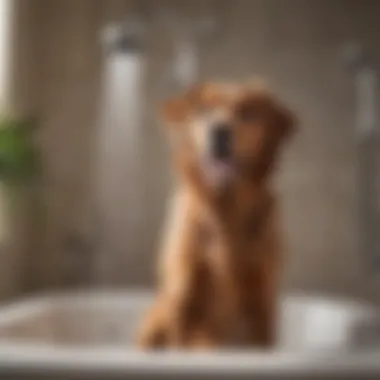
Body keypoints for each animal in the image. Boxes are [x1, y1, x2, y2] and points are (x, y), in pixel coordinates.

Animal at [138, 81, 296, 348]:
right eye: (204, 110)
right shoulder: (184, 291)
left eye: (248, 112)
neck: (225, 211)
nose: (220, 131)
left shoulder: (262, 293)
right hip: (156, 319)